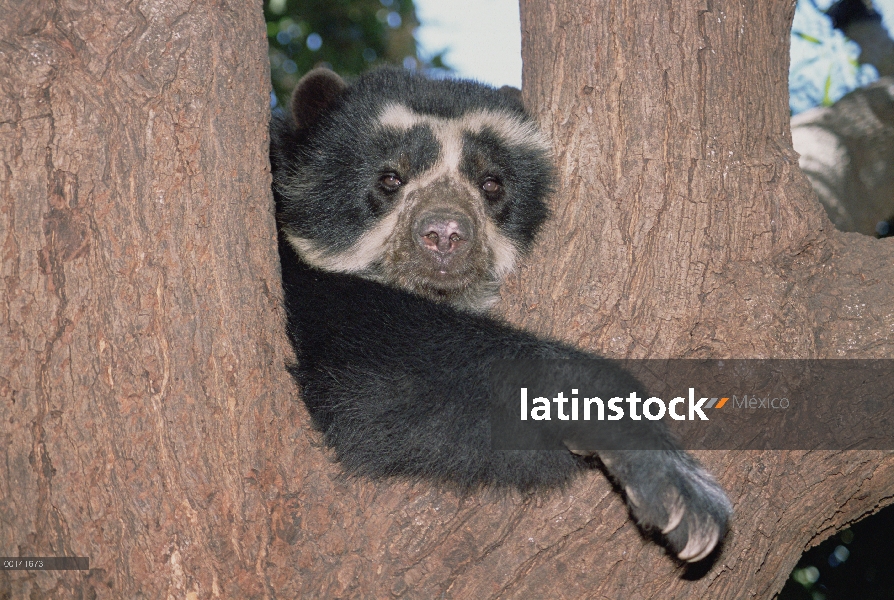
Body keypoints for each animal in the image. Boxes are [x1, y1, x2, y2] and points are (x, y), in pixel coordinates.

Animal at [270, 68, 732, 564]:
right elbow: (373, 376)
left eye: (491, 184)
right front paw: (681, 491)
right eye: (390, 177)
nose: (445, 233)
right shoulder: (301, 289)